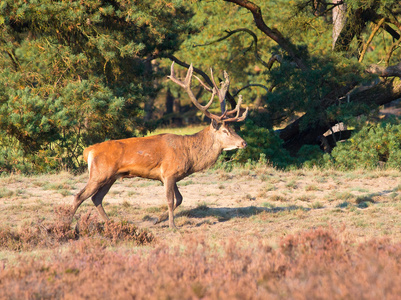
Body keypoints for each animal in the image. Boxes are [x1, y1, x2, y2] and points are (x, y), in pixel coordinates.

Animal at [71, 62, 247, 229]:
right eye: (225, 131)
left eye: (233, 129)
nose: (243, 142)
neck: (190, 155)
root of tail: (89, 150)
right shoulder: (168, 172)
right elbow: (170, 200)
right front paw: (172, 225)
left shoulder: (172, 175)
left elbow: (180, 199)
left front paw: (158, 220)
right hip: (99, 173)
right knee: (79, 196)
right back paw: (67, 222)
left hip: (111, 177)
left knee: (96, 198)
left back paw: (111, 224)